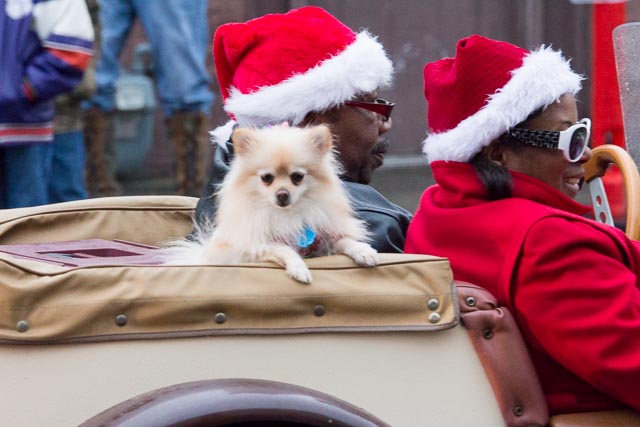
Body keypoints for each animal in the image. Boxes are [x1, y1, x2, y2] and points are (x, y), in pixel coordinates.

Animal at [162, 123, 378, 284]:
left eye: (297, 177)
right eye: (267, 178)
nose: (282, 194)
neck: (287, 215)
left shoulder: (324, 239)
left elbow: (346, 240)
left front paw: (365, 252)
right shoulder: (255, 247)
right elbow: (284, 249)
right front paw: (299, 269)